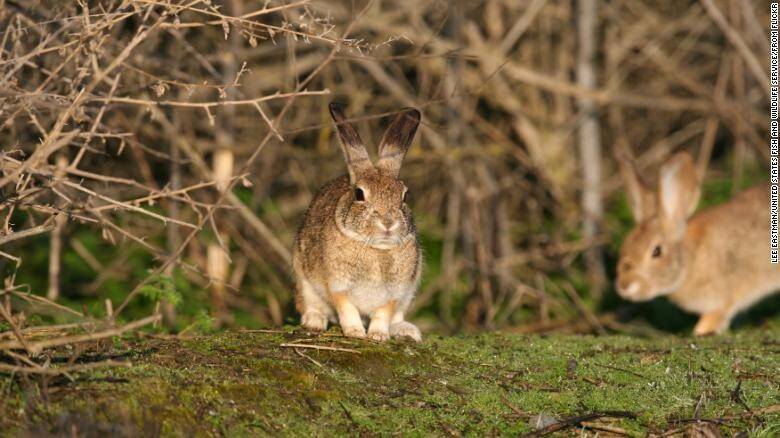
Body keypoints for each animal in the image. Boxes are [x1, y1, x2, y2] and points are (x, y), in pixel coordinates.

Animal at [292, 102, 424, 342]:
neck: (377, 249)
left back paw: (406, 330)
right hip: (303, 278)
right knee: (310, 303)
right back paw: (314, 321)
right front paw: (355, 332)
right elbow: (347, 309)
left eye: (405, 196)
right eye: (359, 194)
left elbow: (383, 314)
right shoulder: (338, 286)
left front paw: (378, 335)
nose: (388, 222)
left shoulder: (395, 294)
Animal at [616, 151, 780, 336]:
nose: (624, 287)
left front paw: (701, 331)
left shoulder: (722, 299)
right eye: (625, 244)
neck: (691, 260)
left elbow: (715, 317)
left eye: (656, 251)